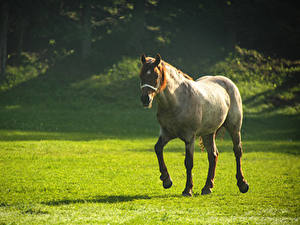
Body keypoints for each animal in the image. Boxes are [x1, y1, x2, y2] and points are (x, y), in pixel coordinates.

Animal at [139, 53, 250, 196]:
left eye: (155, 76)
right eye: (141, 75)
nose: (145, 99)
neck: (177, 101)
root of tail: (228, 82)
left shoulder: (189, 138)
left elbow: (189, 162)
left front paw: (188, 189)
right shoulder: (166, 133)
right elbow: (158, 149)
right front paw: (166, 180)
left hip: (234, 128)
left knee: (237, 151)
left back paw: (242, 184)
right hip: (208, 133)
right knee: (213, 155)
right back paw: (207, 187)